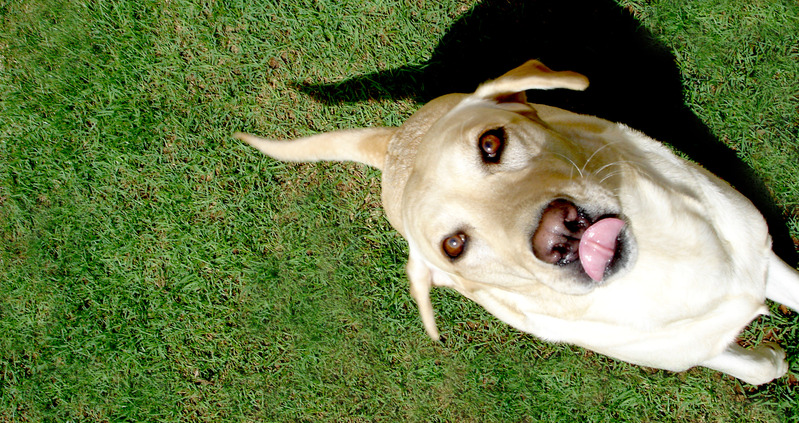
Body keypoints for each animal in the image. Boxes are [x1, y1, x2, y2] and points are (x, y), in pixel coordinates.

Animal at [236, 60, 799, 388]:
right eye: (455, 245)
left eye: (492, 143)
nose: (559, 234)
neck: (664, 265)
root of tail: (393, 142)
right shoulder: (690, 349)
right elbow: (744, 364)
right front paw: (770, 361)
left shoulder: (765, 256)